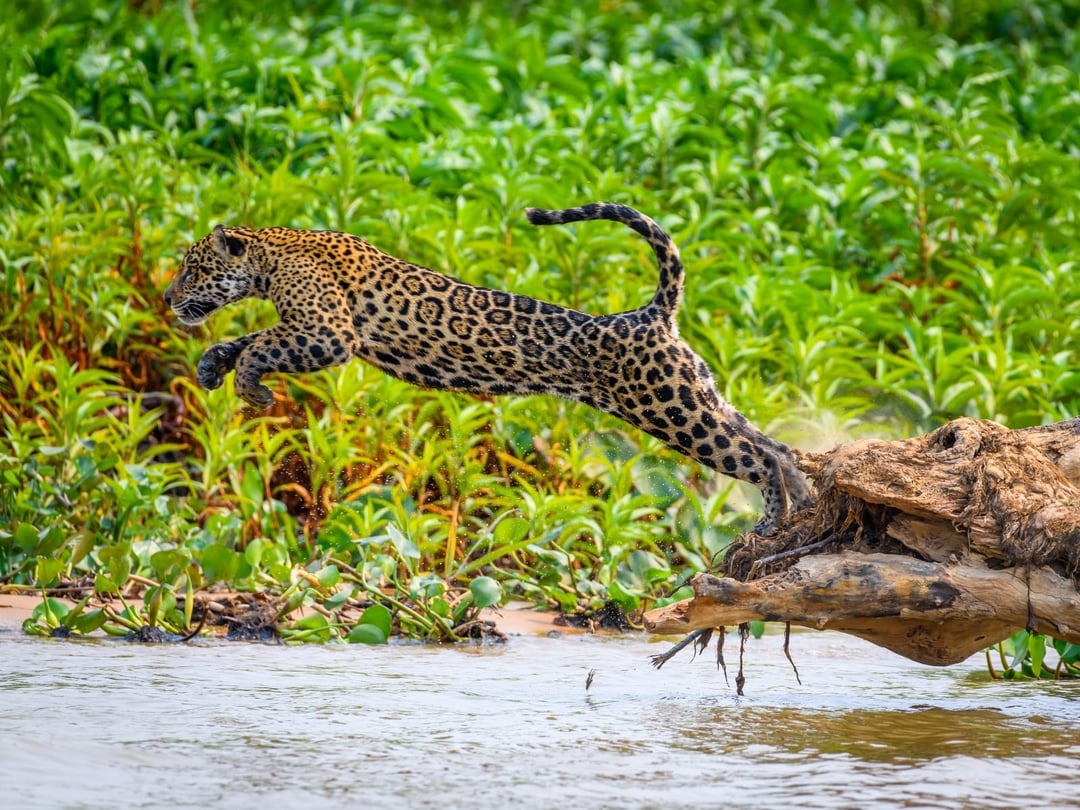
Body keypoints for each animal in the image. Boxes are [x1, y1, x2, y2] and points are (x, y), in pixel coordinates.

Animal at [164, 202, 811, 534]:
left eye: (192, 269)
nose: (168, 298)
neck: (271, 254)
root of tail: (649, 313)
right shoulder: (307, 328)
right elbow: (254, 335)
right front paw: (212, 366)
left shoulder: (329, 333)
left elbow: (263, 345)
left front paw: (252, 390)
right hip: (698, 396)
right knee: (774, 446)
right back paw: (800, 508)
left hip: (671, 409)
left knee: (754, 456)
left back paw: (770, 524)